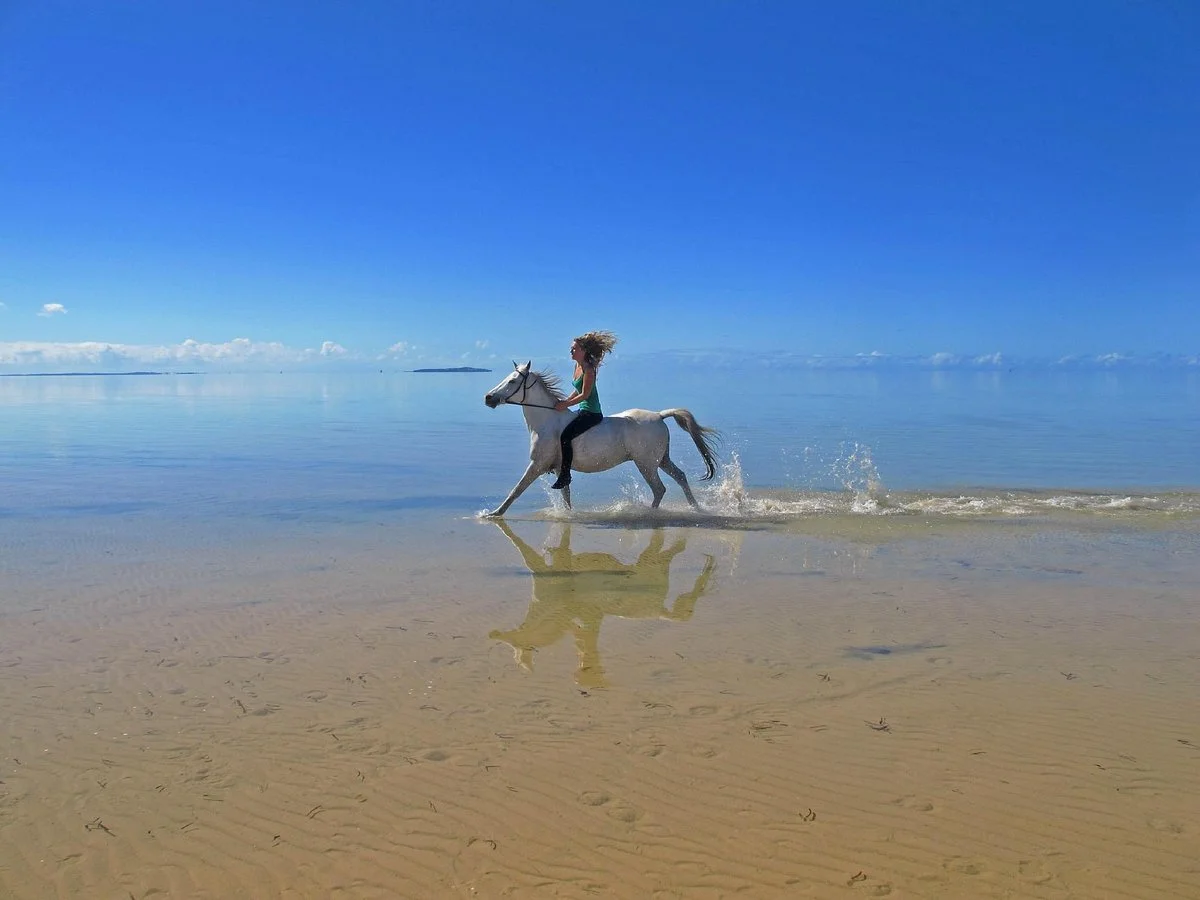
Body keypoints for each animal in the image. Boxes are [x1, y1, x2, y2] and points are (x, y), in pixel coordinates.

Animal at [482, 361, 720, 517]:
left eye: (512, 381)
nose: (488, 398)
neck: (547, 421)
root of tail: (659, 415)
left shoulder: (537, 464)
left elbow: (516, 490)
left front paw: (494, 513)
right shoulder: (560, 469)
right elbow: (566, 495)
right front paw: (569, 515)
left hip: (646, 464)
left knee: (659, 489)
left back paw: (649, 514)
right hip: (661, 459)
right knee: (680, 477)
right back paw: (695, 508)